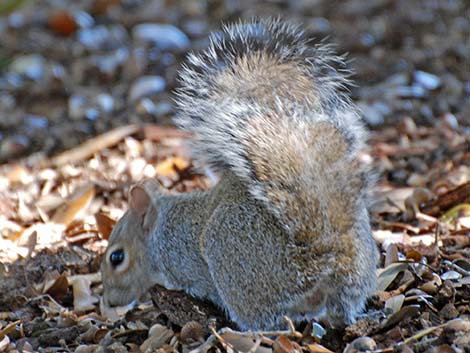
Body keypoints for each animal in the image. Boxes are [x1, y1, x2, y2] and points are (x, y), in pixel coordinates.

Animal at [101, 17, 380, 328]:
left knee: (265, 322)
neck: (160, 231)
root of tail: (316, 262)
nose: (109, 301)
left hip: (231, 263)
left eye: (116, 257)